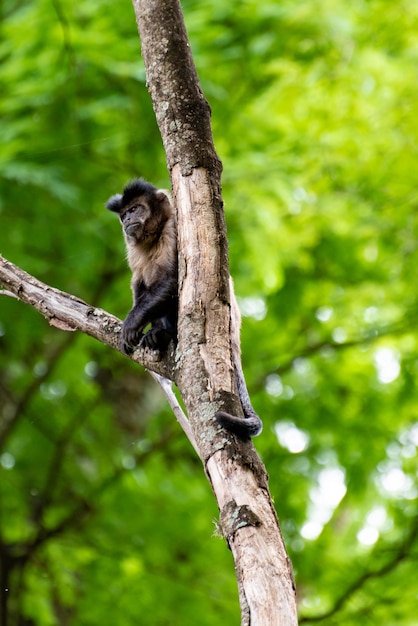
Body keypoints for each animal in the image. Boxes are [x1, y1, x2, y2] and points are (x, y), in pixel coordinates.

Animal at [107, 178, 262, 436]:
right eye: (124, 214)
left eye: (135, 209)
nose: (127, 219)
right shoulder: (132, 248)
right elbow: (139, 285)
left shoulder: (172, 229)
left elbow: (172, 278)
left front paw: (132, 325)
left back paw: (165, 333)